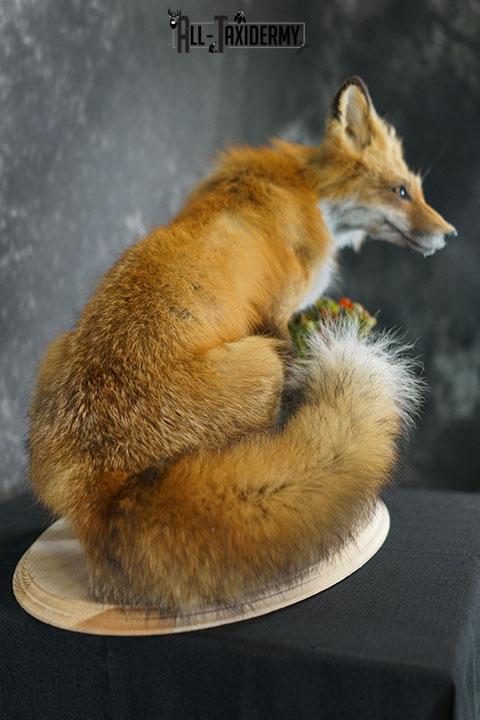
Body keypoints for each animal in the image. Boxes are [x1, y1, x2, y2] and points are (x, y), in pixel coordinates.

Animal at [29, 77, 456, 613]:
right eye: (401, 192)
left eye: (417, 189)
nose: (450, 234)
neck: (308, 191)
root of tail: (97, 483)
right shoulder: (278, 315)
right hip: (261, 362)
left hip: (53, 355)